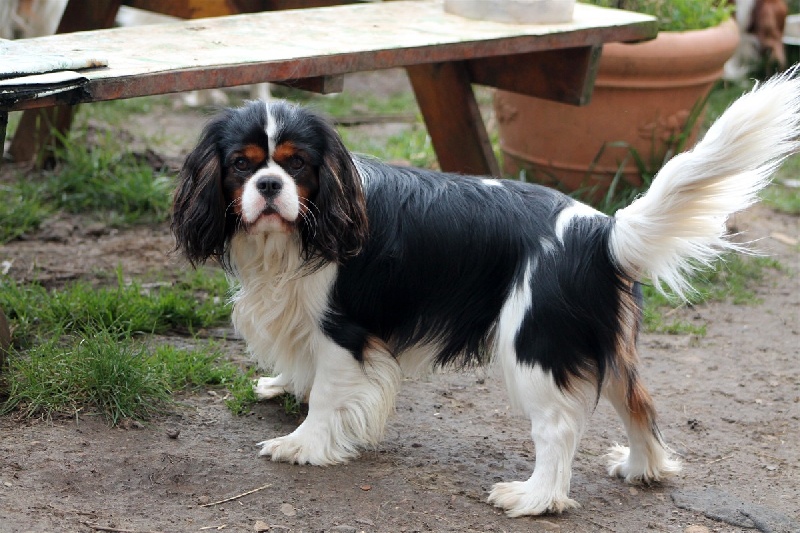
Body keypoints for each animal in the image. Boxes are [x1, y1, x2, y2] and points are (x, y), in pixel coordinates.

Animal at [170, 75, 800, 516]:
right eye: (241, 165)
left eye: (297, 165)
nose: (269, 185)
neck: (294, 234)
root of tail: (600, 230)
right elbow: (302, 369)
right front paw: (283, 387)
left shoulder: (344, 331)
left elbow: (327, 394)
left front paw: (302, 444)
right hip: (608, 344)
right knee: (638, 402)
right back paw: (644, 467)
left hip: (534, 346)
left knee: (558, 428)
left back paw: (535, 499)